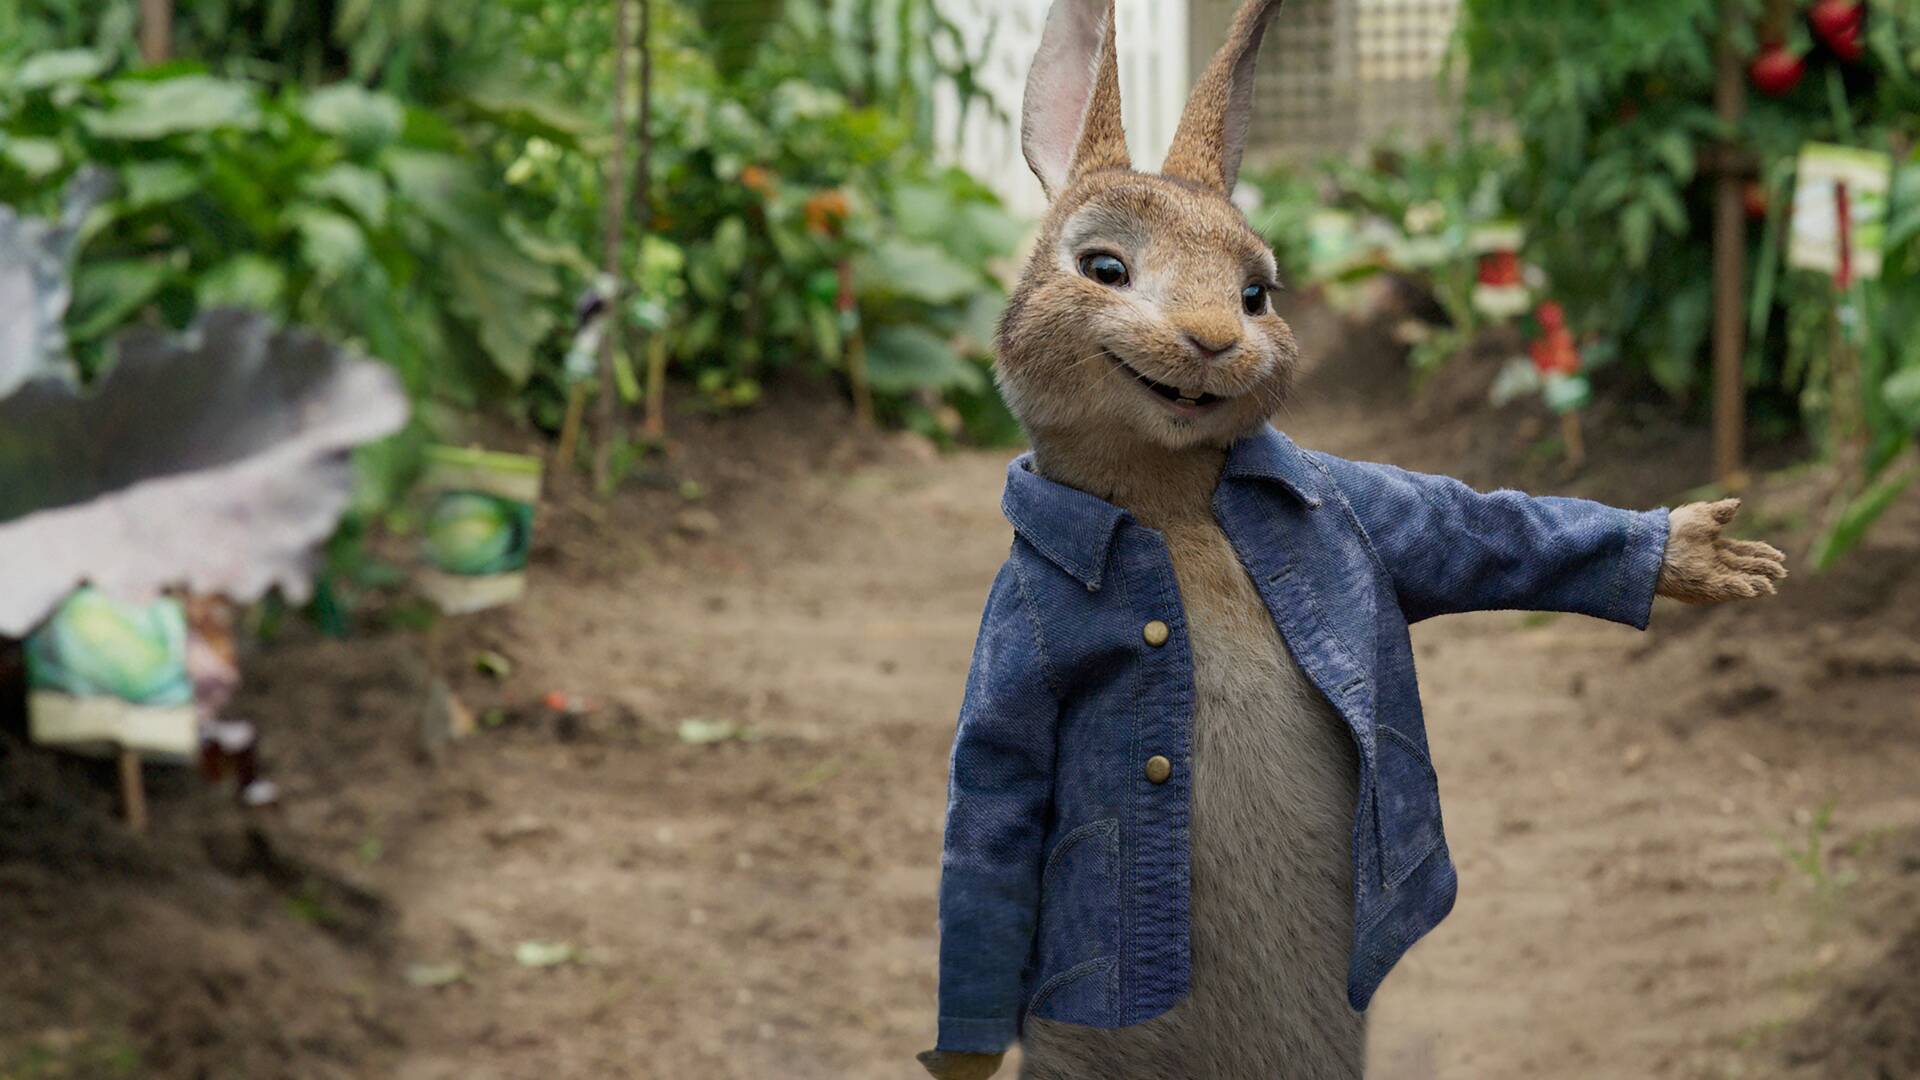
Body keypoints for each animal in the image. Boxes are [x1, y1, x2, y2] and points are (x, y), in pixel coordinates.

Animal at [921, 2, 1789, 1076]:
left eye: (1257, 294)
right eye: (1104, 269)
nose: (1214, 340)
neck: (1170, 504)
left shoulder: (1360, 502)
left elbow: (1481, 530)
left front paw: (1700, 551)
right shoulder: (1018, 633)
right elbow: (993, 801)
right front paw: (963, 1055)